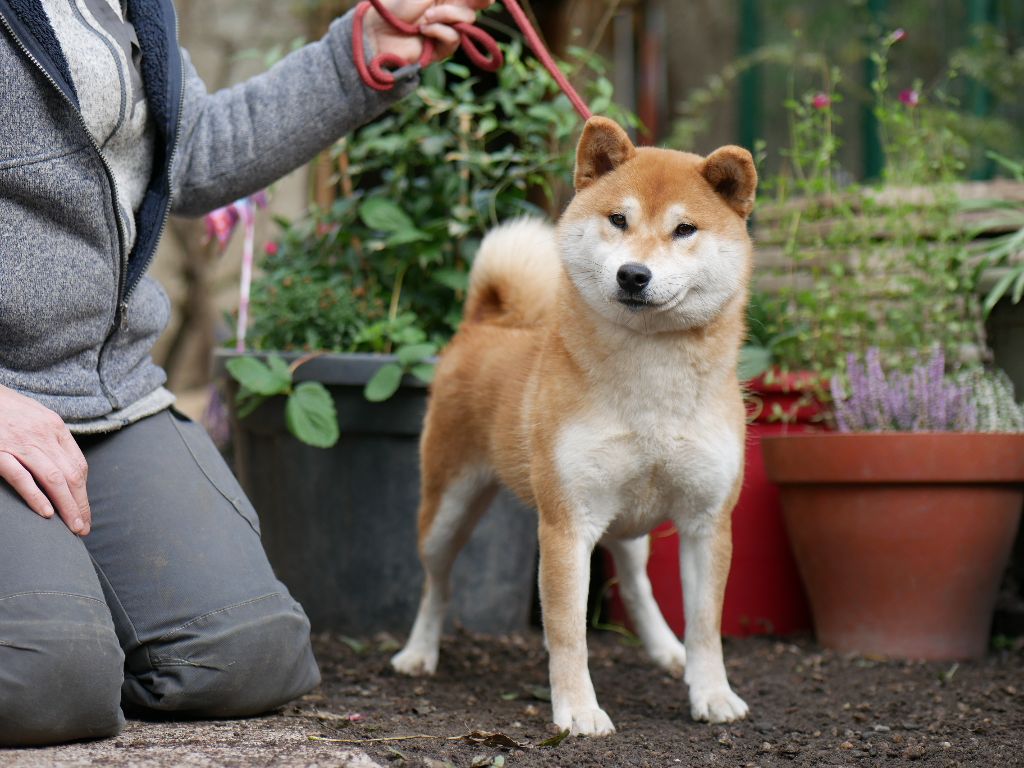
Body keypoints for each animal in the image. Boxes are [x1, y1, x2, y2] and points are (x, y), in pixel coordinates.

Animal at [389, 117, 753, 737]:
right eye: (618, 220)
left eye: (684, 229)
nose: (633, 274)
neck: (653, 380)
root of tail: (489, 322)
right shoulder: (566, 523)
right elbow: (567, 633)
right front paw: (578, 710)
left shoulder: (708, 522)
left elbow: (707, 626)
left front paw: (711, 693)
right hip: (446, 511)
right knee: (437, 584)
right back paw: (419, 652)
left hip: (627, 520)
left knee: (635, 580)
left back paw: (666, 648)